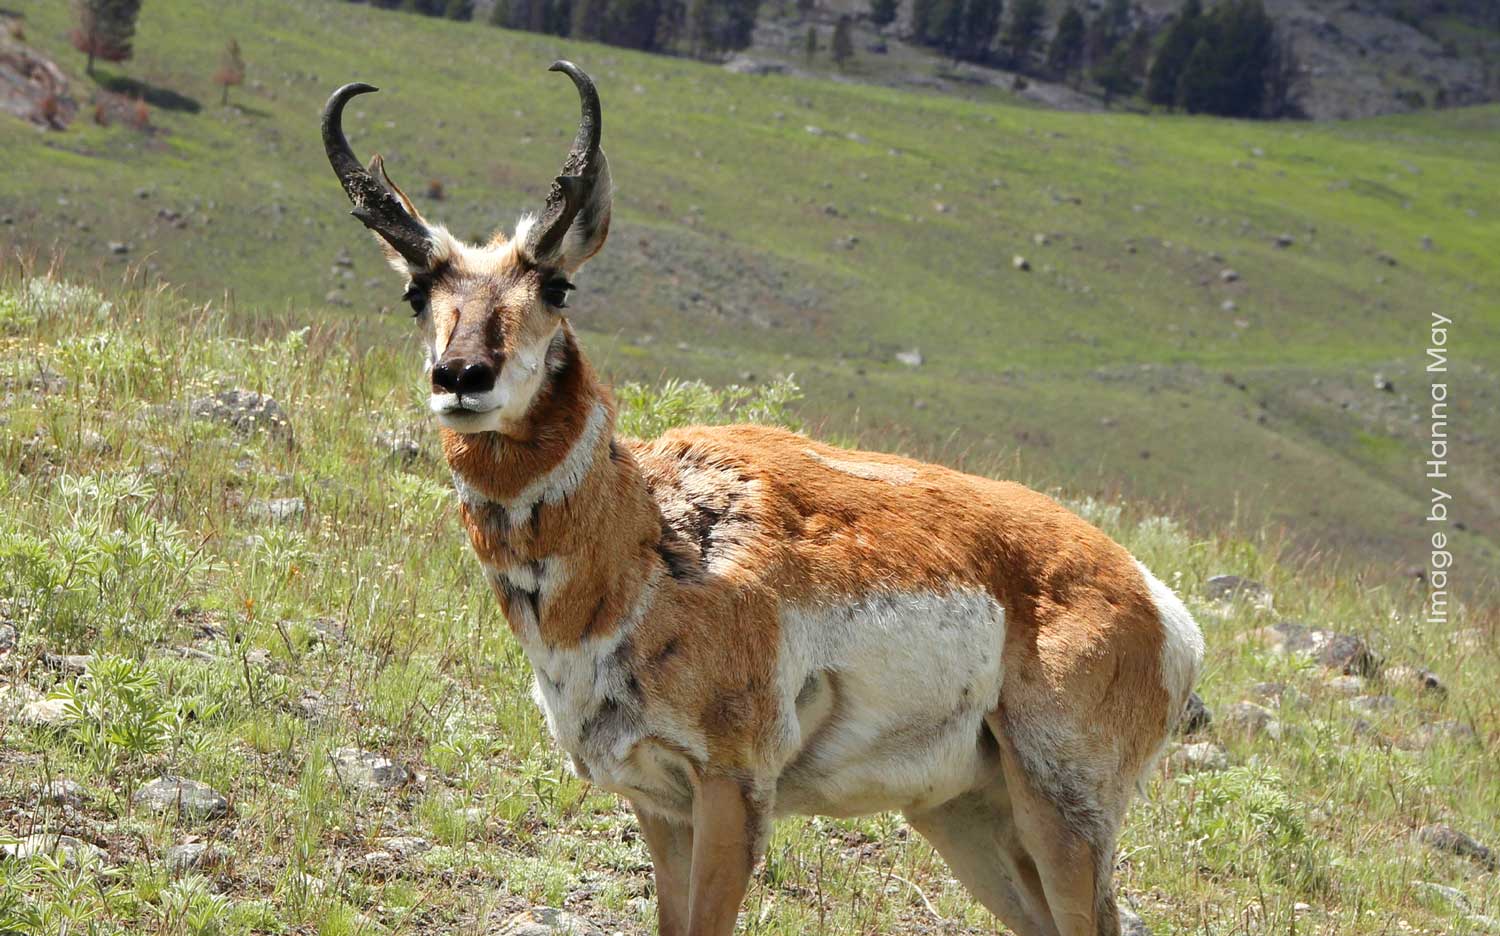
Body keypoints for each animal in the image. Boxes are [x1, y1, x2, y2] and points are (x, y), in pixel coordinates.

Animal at [322, 62, 1200, 930]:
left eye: (559, 287)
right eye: (415, 295)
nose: (461, 377)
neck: (653, 541)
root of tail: (1153, 598)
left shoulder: (733, 786)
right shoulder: (658, 801)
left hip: (1060, 809)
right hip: (965, 814)